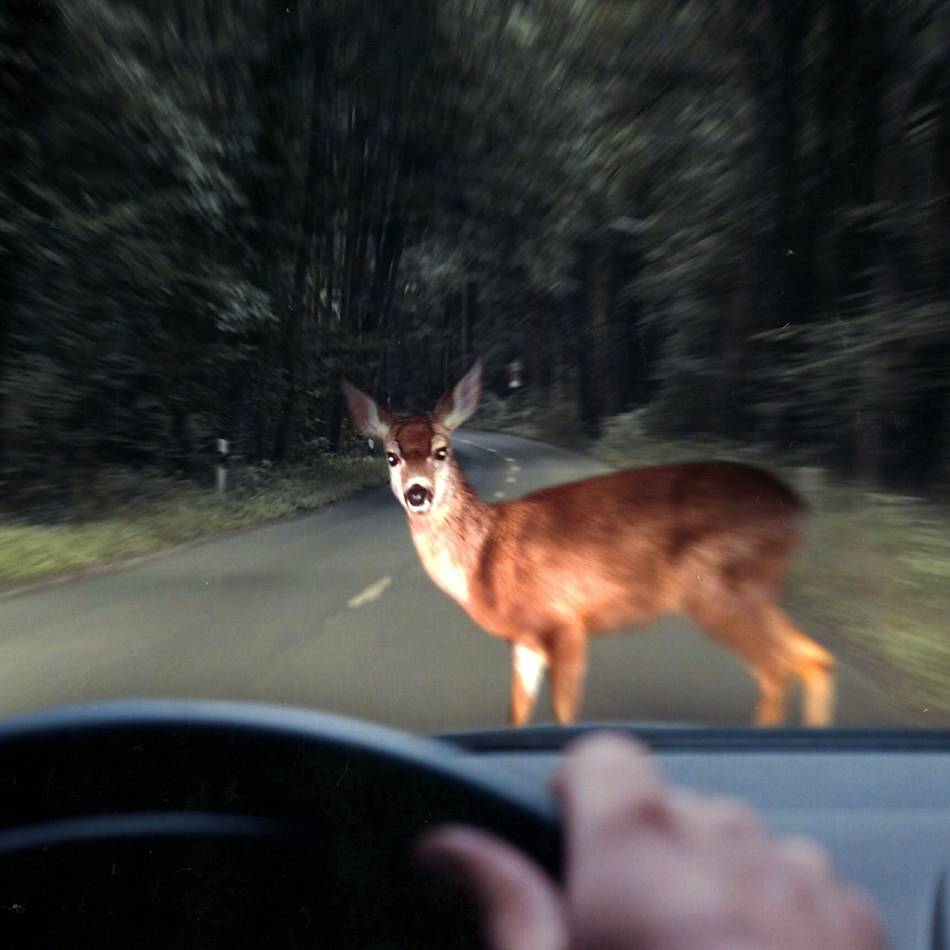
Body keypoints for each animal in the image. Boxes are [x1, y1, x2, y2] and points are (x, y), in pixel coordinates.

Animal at [341, 361, 836, 728]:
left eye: (442, 450)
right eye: (392, 456)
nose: (417, 493)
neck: (486, 557)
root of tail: (799, 509)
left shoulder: (565, 622)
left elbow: (565, 714)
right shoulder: (525, 639)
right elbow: (516, 713)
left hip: (718, 588)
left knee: (775, 670)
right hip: (753, 591)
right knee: (814, 658)